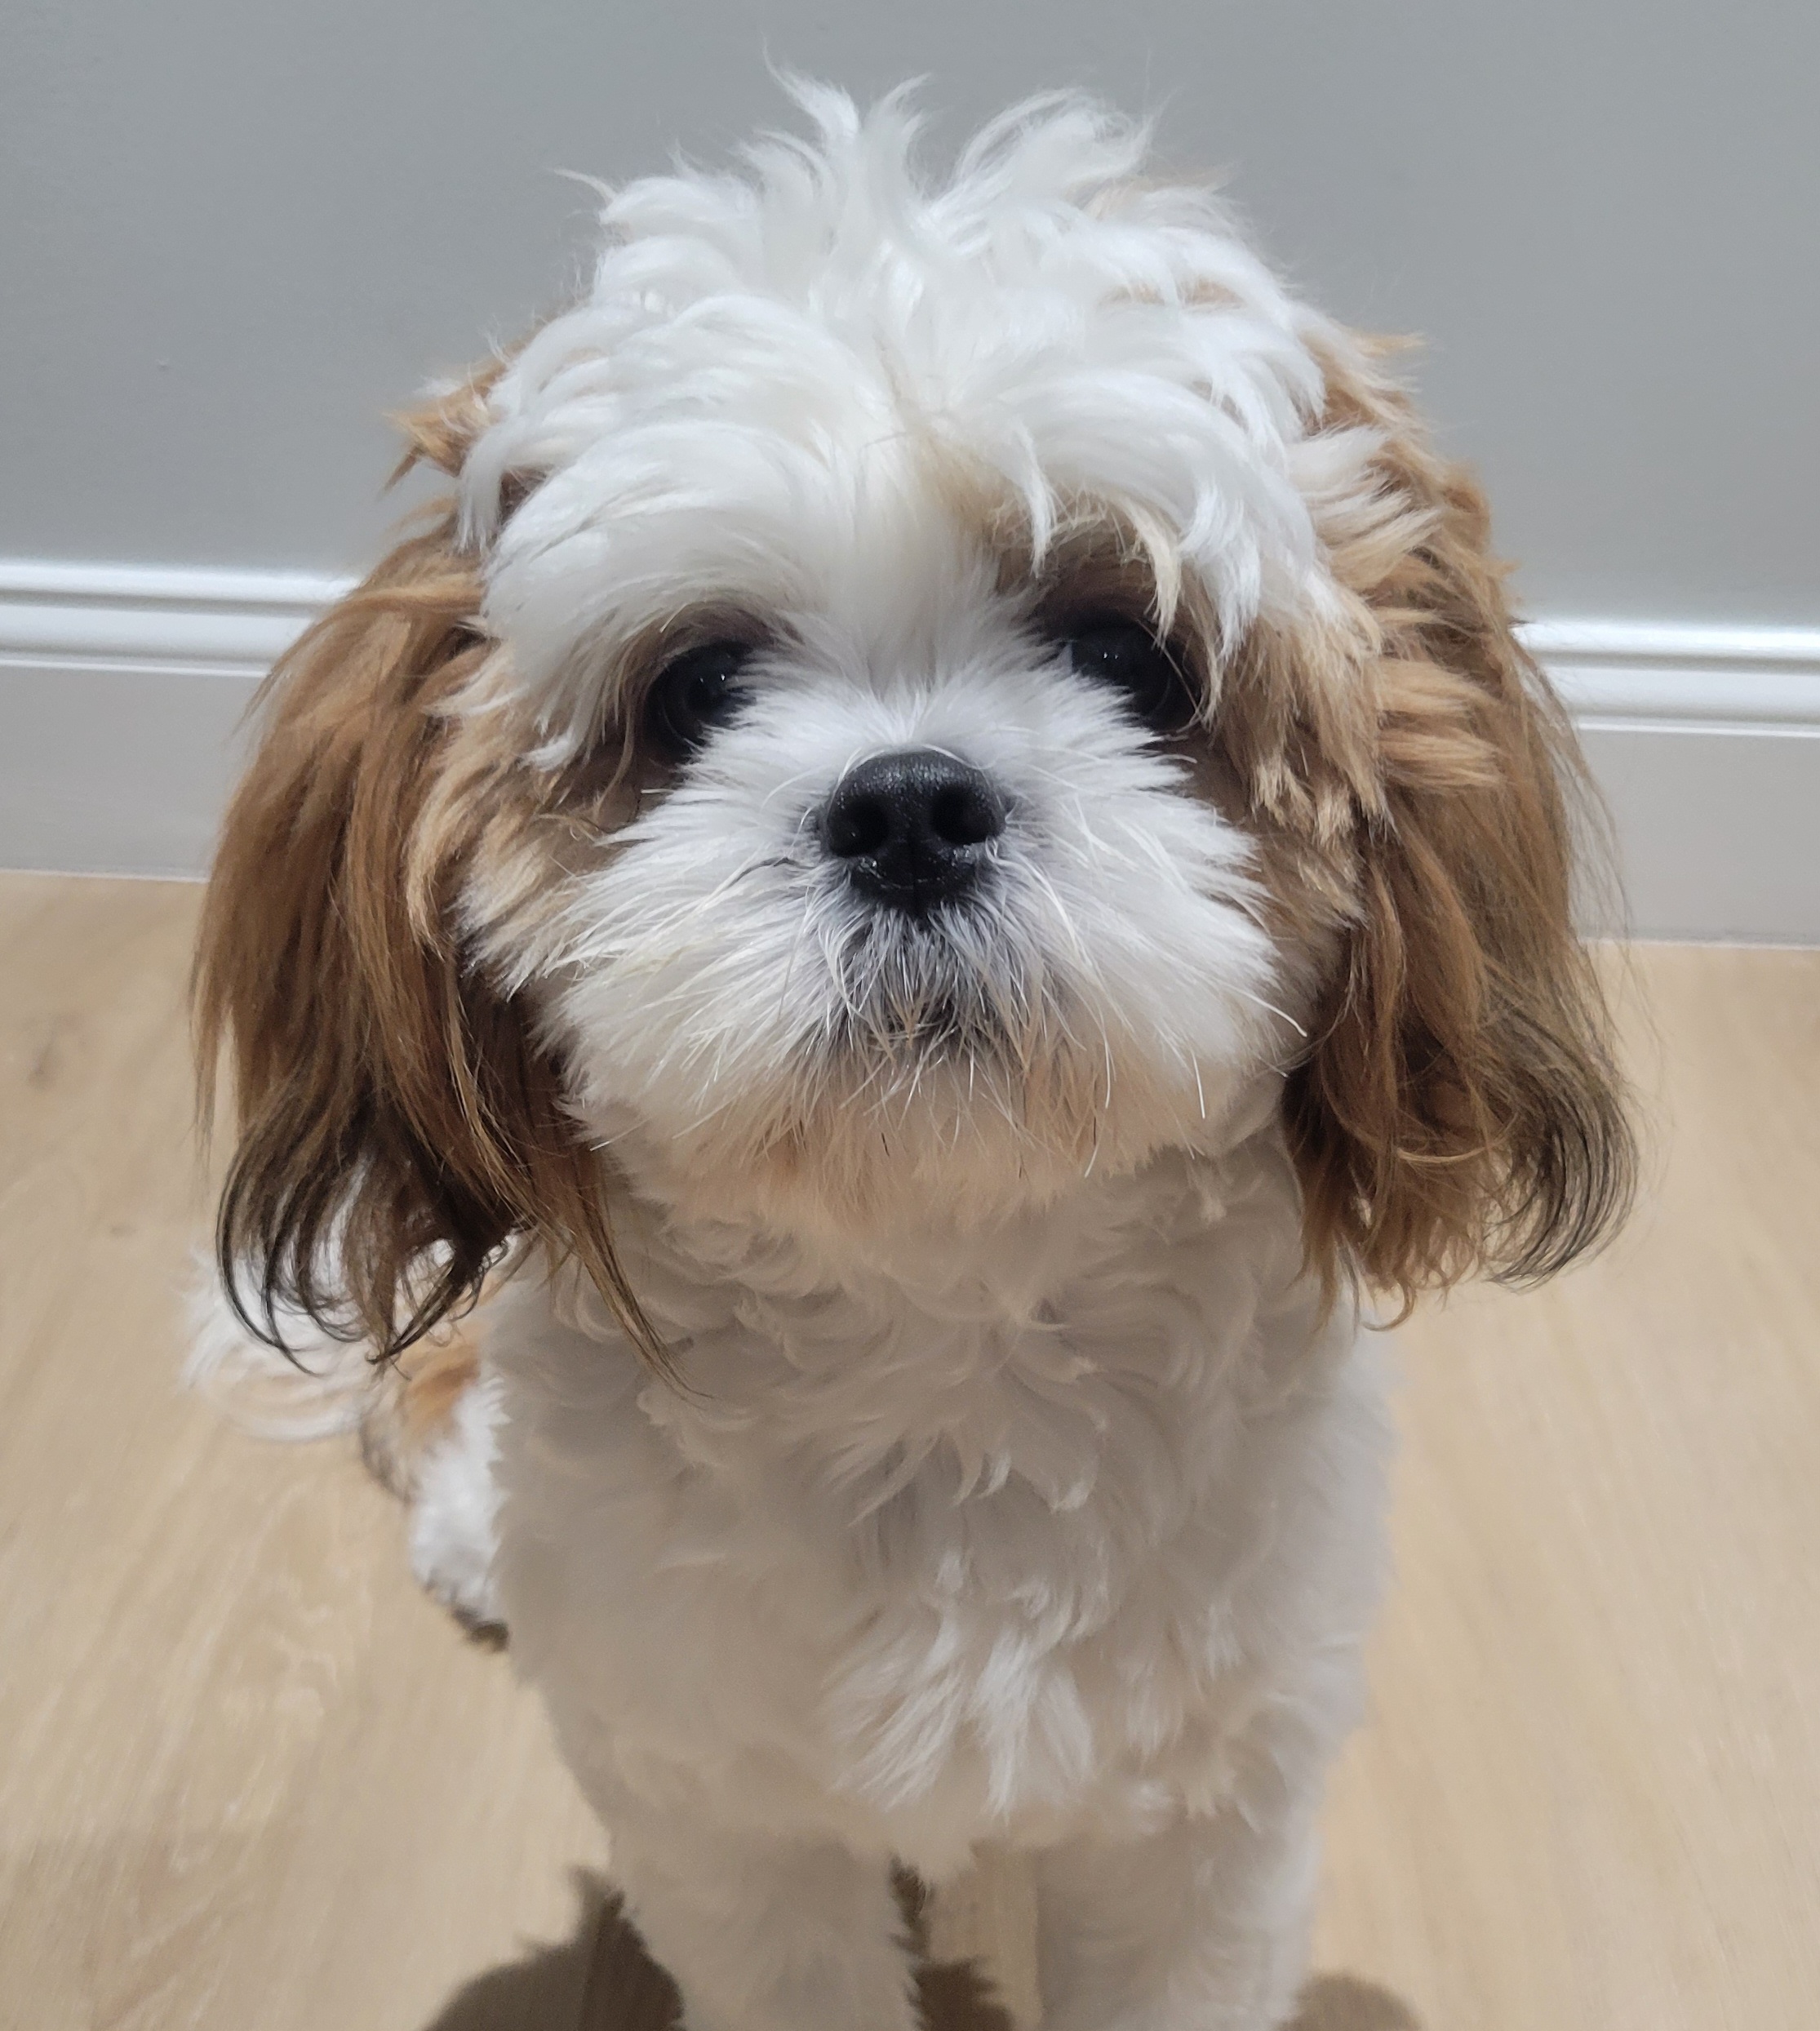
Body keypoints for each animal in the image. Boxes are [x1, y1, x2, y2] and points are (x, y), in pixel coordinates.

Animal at [191, 85, 1632, 2031]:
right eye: (696, 688)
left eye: (1127, 650)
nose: (907, 807)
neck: (945, 1349)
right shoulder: (726, 1816)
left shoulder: (1201, 1817)